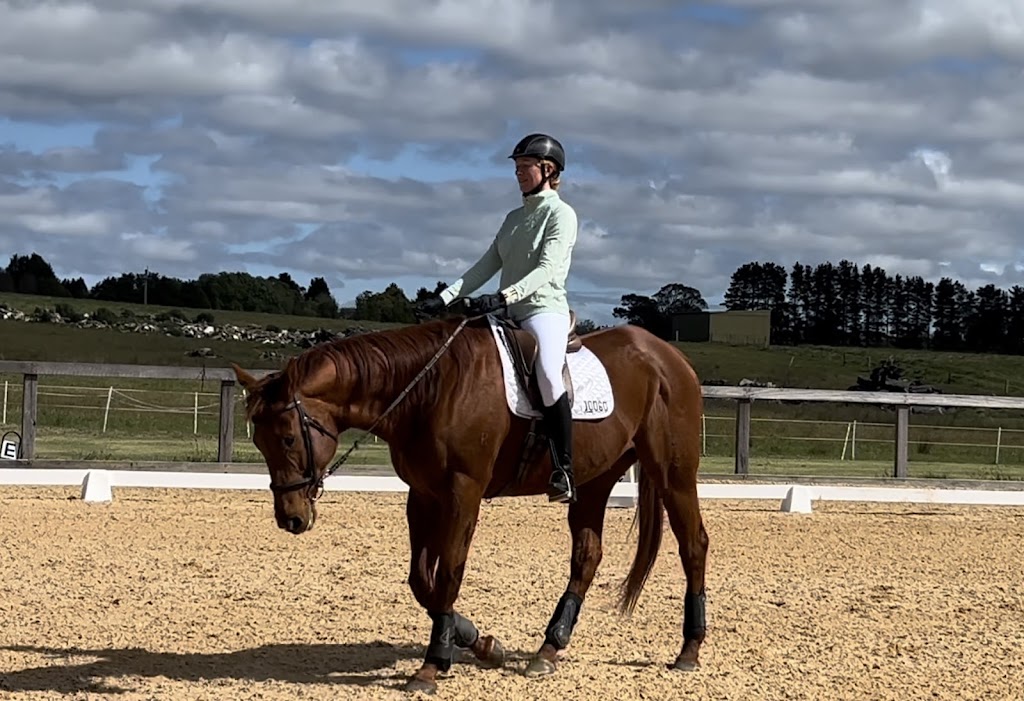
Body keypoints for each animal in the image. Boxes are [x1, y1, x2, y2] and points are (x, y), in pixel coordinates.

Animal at [231, 310, 709, 696]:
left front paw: (431, 666)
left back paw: (689, 650)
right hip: (594, 481)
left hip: (673, 475)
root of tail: (669, 356)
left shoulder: (464, 492)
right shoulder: (423, 494)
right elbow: (421, 581)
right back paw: (548, 649)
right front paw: (477, 641)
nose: (291, 518)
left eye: (288, 438)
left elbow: (449, 573)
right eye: (259, 441)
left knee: (693, 544)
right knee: (586, 556)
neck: (431, 389)